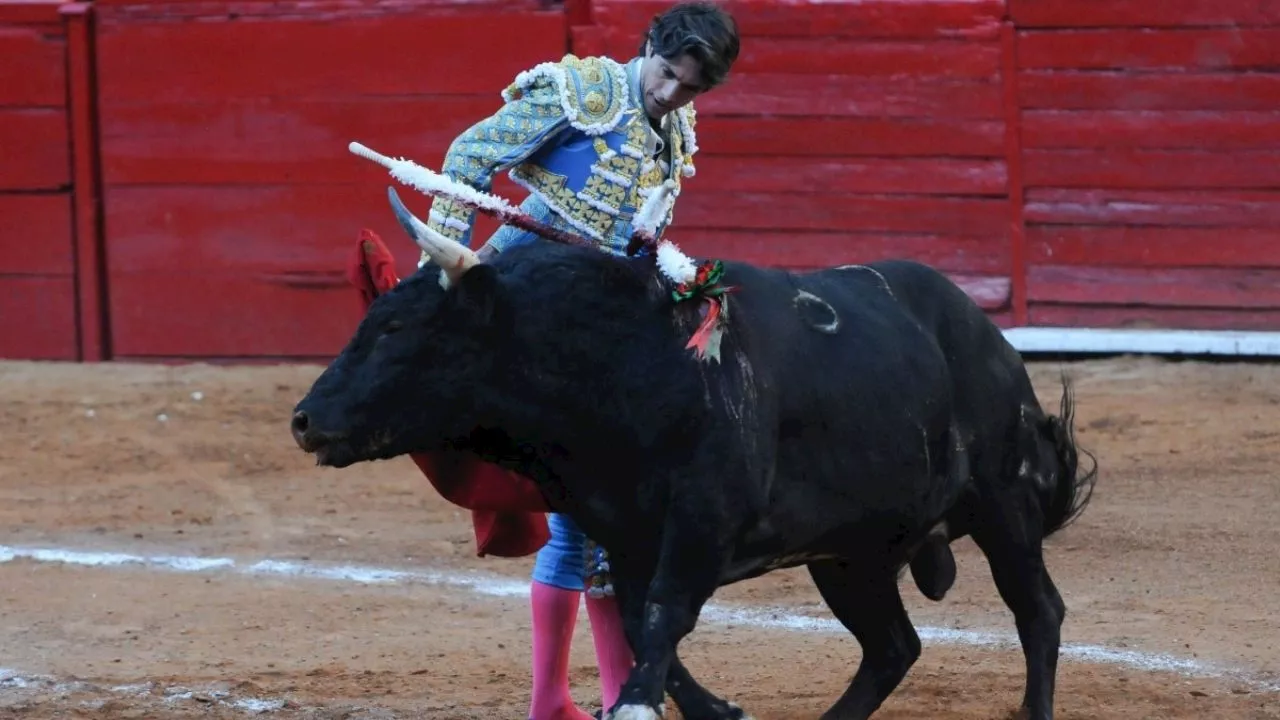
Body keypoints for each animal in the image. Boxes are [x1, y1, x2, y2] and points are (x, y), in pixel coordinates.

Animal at [293, 203, 1100, 717]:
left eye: (395, 328)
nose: (304, 421)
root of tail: (987, 334)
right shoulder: (623, 534)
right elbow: (639, 624)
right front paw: (706, 709)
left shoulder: (699, 524)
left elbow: (662, 617)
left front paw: (643, 706)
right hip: (851, 553)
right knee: (891, 647)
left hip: (1001, 504)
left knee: (1038, 611)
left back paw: (1034, 710)